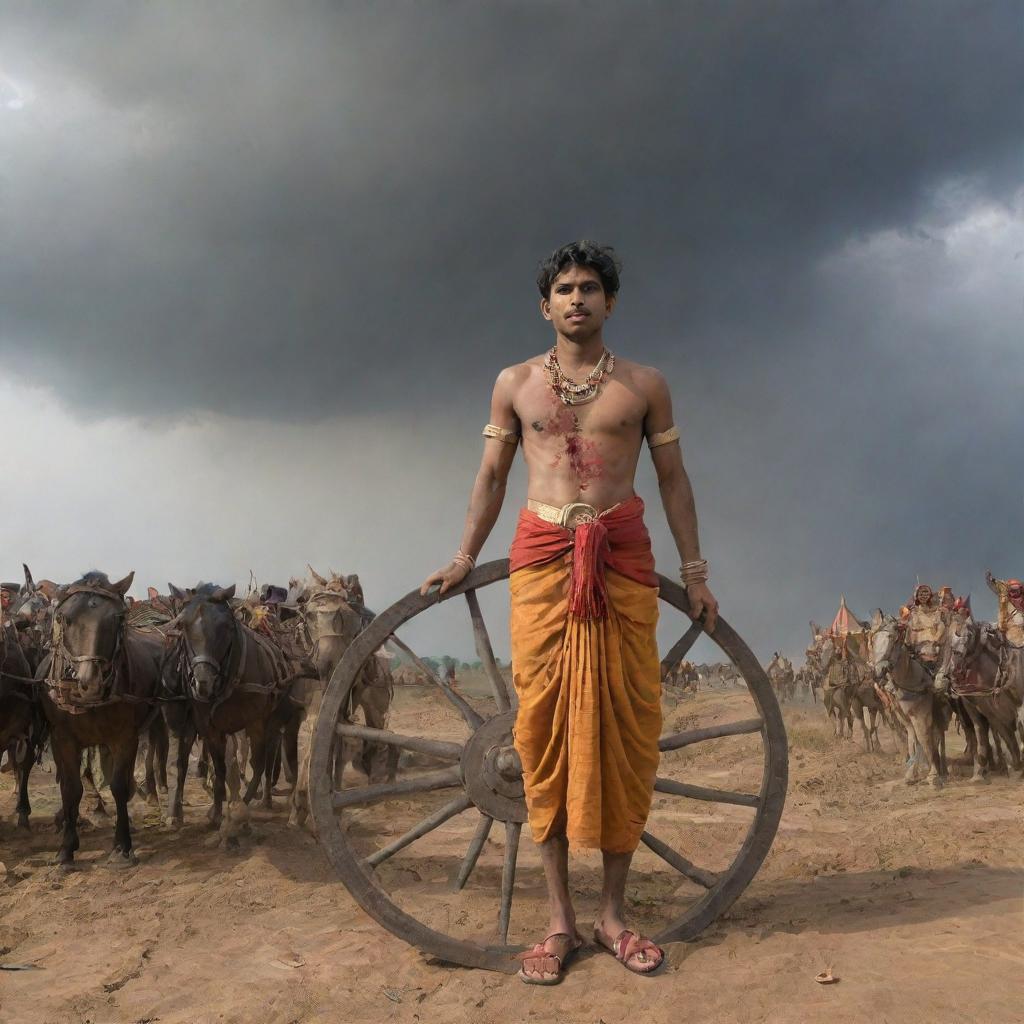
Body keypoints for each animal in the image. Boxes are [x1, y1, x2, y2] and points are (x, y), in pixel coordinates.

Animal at [38, 569, 162, 864]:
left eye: (117, 619)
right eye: (64, 618)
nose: (89, 683)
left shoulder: (125, 738)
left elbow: (118, 787)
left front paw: (122, 846)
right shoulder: (62, 739)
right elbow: (71, 789)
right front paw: (66, 849)